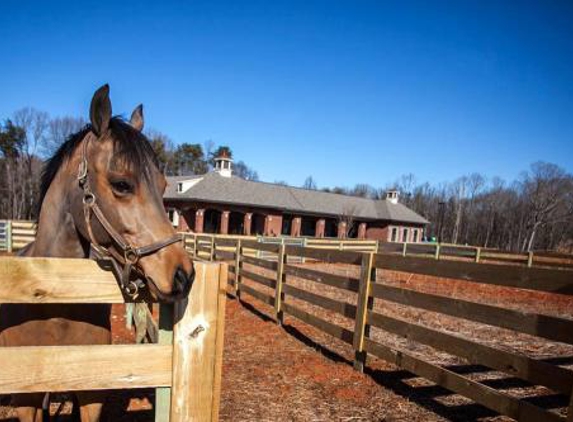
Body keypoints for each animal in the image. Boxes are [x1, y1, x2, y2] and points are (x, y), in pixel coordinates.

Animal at [0, 85, 194, 422]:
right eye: (122, 184)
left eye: (163, 186)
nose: (183, 273)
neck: (54, 306)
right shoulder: (26, 399)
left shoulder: (92, 395)